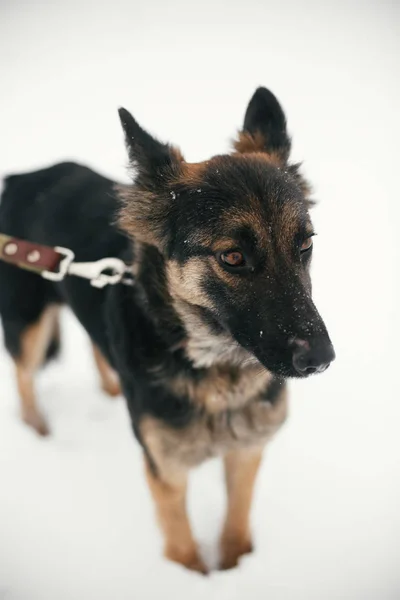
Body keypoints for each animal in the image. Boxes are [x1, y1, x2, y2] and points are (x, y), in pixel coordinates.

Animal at [0, 88, 334, 572]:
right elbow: (183, 549)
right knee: (25, 378)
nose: (321, 359)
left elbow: (236, 527)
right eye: (233, 257)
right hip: (27, 325)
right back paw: (39, 434)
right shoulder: (167, 472)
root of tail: (22, 177)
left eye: (304, 244)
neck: (216, 372)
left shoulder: (246, 453)